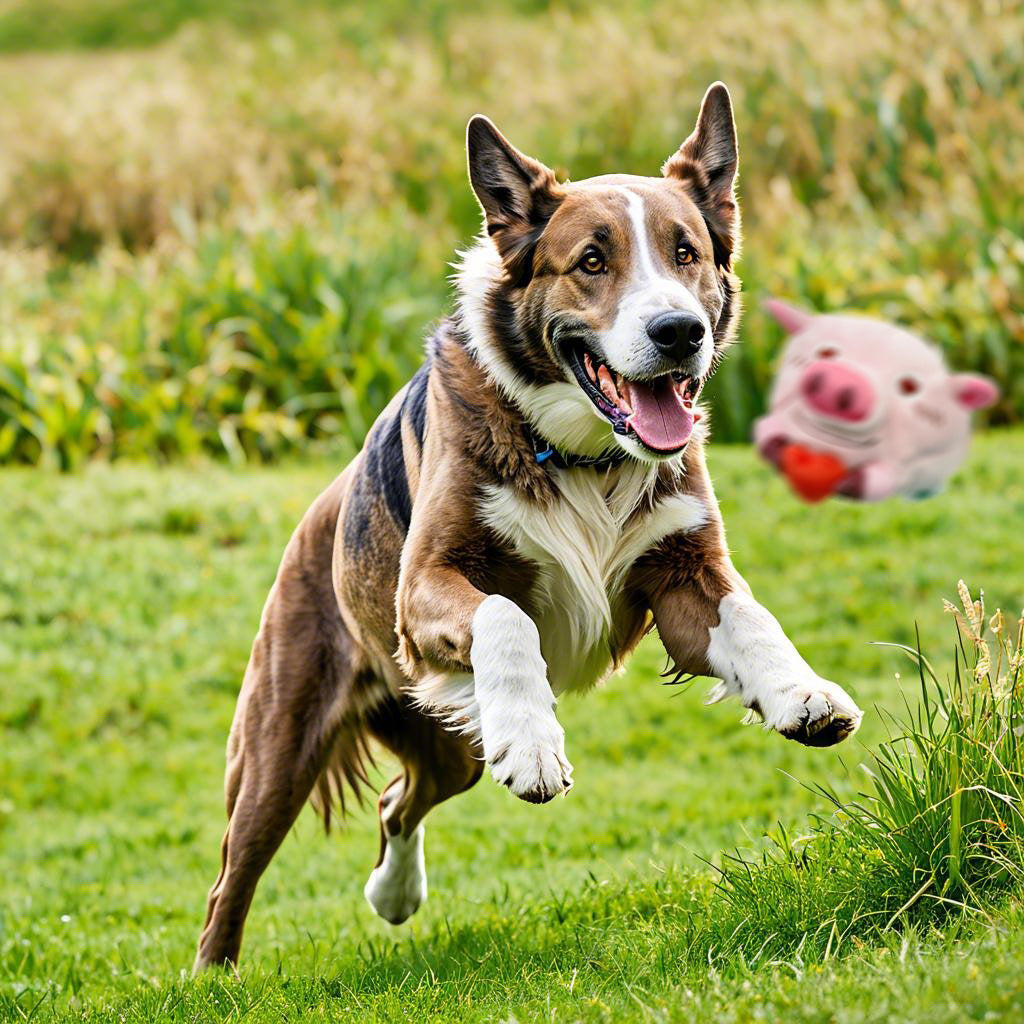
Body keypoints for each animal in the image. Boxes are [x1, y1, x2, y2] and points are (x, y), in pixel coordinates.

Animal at [193, 83, 864, 970]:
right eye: (591, 262)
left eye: (686, 253)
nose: (678, 332)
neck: (583, 454)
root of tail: (319, 518)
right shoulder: (426, 587)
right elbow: (507, 617)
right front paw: (538, 747)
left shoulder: (684, 573)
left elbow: (748, 616)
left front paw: (801, 693)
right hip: (281, 742)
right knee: (232, 875)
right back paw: (213, 976)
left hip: (446, 740)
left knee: (400, 798)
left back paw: (394, 895)